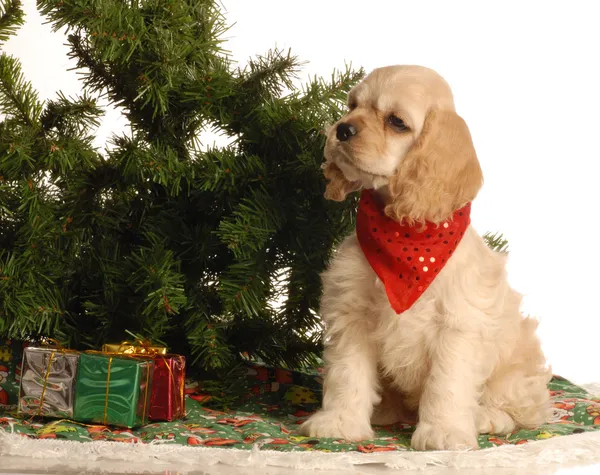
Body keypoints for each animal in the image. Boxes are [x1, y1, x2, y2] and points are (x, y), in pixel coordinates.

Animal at [302, 65, 552, 452]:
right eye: (352, 106)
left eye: (397, 122)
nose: (341, 129)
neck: (404, 233)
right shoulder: (352, 313)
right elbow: (347, 374)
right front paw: (340, 422)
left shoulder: (457, 324)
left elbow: (446, 384)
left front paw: (444, 432)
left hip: (517, 361)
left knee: (521, 406)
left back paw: (486, 416)